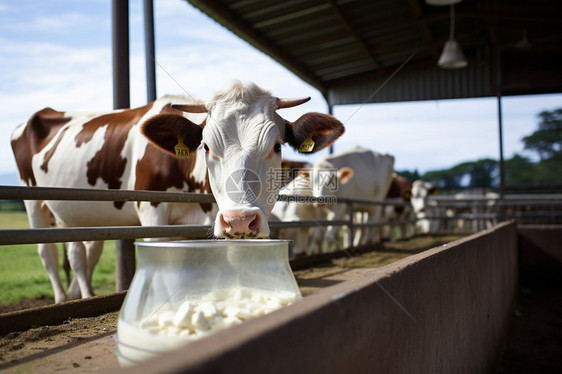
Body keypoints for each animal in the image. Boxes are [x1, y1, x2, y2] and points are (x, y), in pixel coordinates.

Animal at [13, 80, 344, 302]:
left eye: (276, 146)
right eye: (206, 146)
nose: (238, 219)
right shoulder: (152, 212)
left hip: (72, 212)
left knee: (80, 254)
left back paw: (84, 294)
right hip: (33, 201)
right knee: (48, 252)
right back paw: (61, 299)